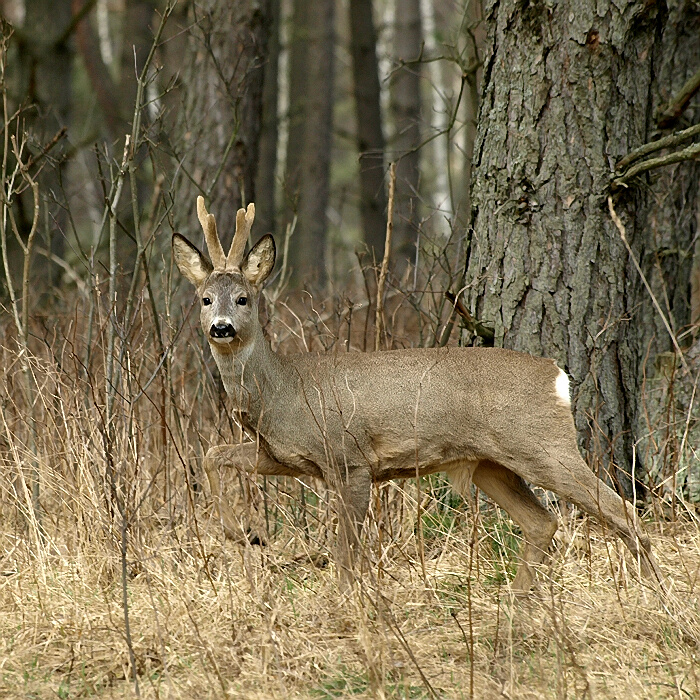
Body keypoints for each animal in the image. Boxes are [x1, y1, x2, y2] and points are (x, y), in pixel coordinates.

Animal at [174, 196, 660, 592]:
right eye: (204, 299)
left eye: (243, 298)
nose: (221, 328)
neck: (283, 391)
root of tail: (557, 375)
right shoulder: (282, 455)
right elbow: (212, 455)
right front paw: (246, 533)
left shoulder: (350, 459)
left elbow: (347, 554)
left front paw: (349, 605)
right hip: (491, 464)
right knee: (543, 522)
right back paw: (518, 603)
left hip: (542, 443)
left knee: (623, 511)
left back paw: (654, 596)